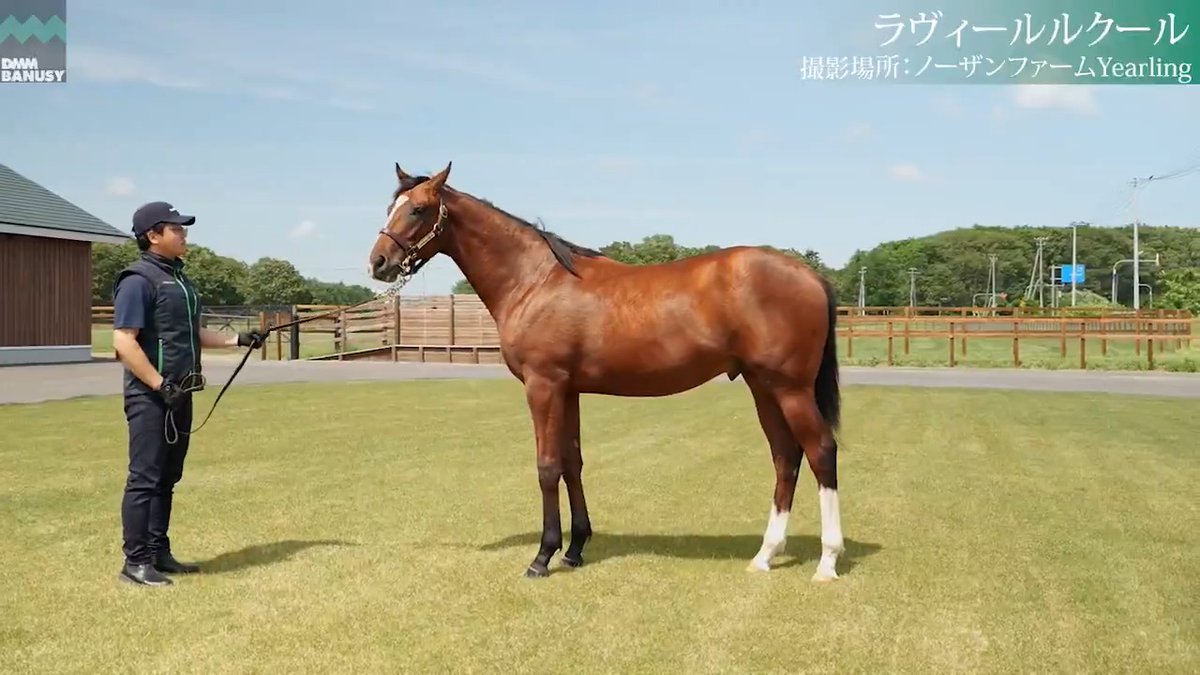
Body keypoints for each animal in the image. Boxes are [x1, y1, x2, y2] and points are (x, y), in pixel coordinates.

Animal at [368, 161, 845, 581]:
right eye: (392, 206)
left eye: (418, 209)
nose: (378, 262)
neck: (535, 280)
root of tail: (810, 276)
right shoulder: (568, 390)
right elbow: (572, 462)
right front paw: (575, 549)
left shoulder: (543, 385)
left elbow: (547, 466)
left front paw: (542, 557)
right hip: (762, 386)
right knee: (785, 457)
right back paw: (765, 555)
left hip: (790, 388)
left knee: (820, 451)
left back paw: (827, 562)